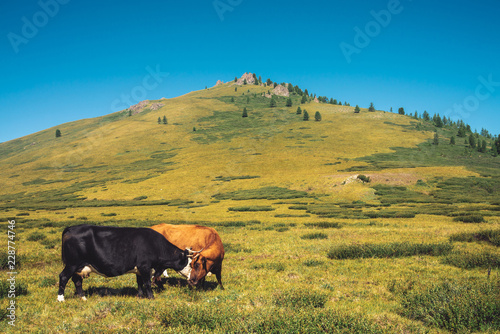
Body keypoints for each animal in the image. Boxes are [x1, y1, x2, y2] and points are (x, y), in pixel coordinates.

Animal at [57, 226, 196, 302]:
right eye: (190, 264)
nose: (193, 279)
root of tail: (71, 228)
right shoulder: (145, 266)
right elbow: (147, 283)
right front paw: (151, 297)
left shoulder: (139, 269)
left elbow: (139, 283)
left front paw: (140, 296)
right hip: (72, 264)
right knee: (63, 277)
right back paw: (61, 299)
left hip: (79, 267)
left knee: (77, 281)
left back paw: (83, 298)